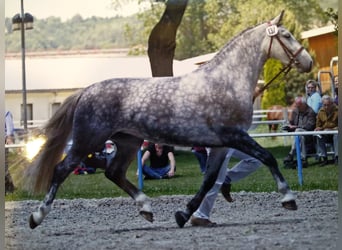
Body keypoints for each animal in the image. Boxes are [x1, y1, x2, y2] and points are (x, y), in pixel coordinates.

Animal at [25, 10, 312, 229]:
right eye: (286, 35)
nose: (308, 62)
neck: (226, 82)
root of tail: (86, 91)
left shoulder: (221, 145)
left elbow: (210, 179)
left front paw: (184, 214)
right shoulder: (235, 136)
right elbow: (268, 157)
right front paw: (288, 198)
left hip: (127, 142)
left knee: (113, 172)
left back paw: (146, 208)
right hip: (88, 140)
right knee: (62, 170)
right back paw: (37, 216)